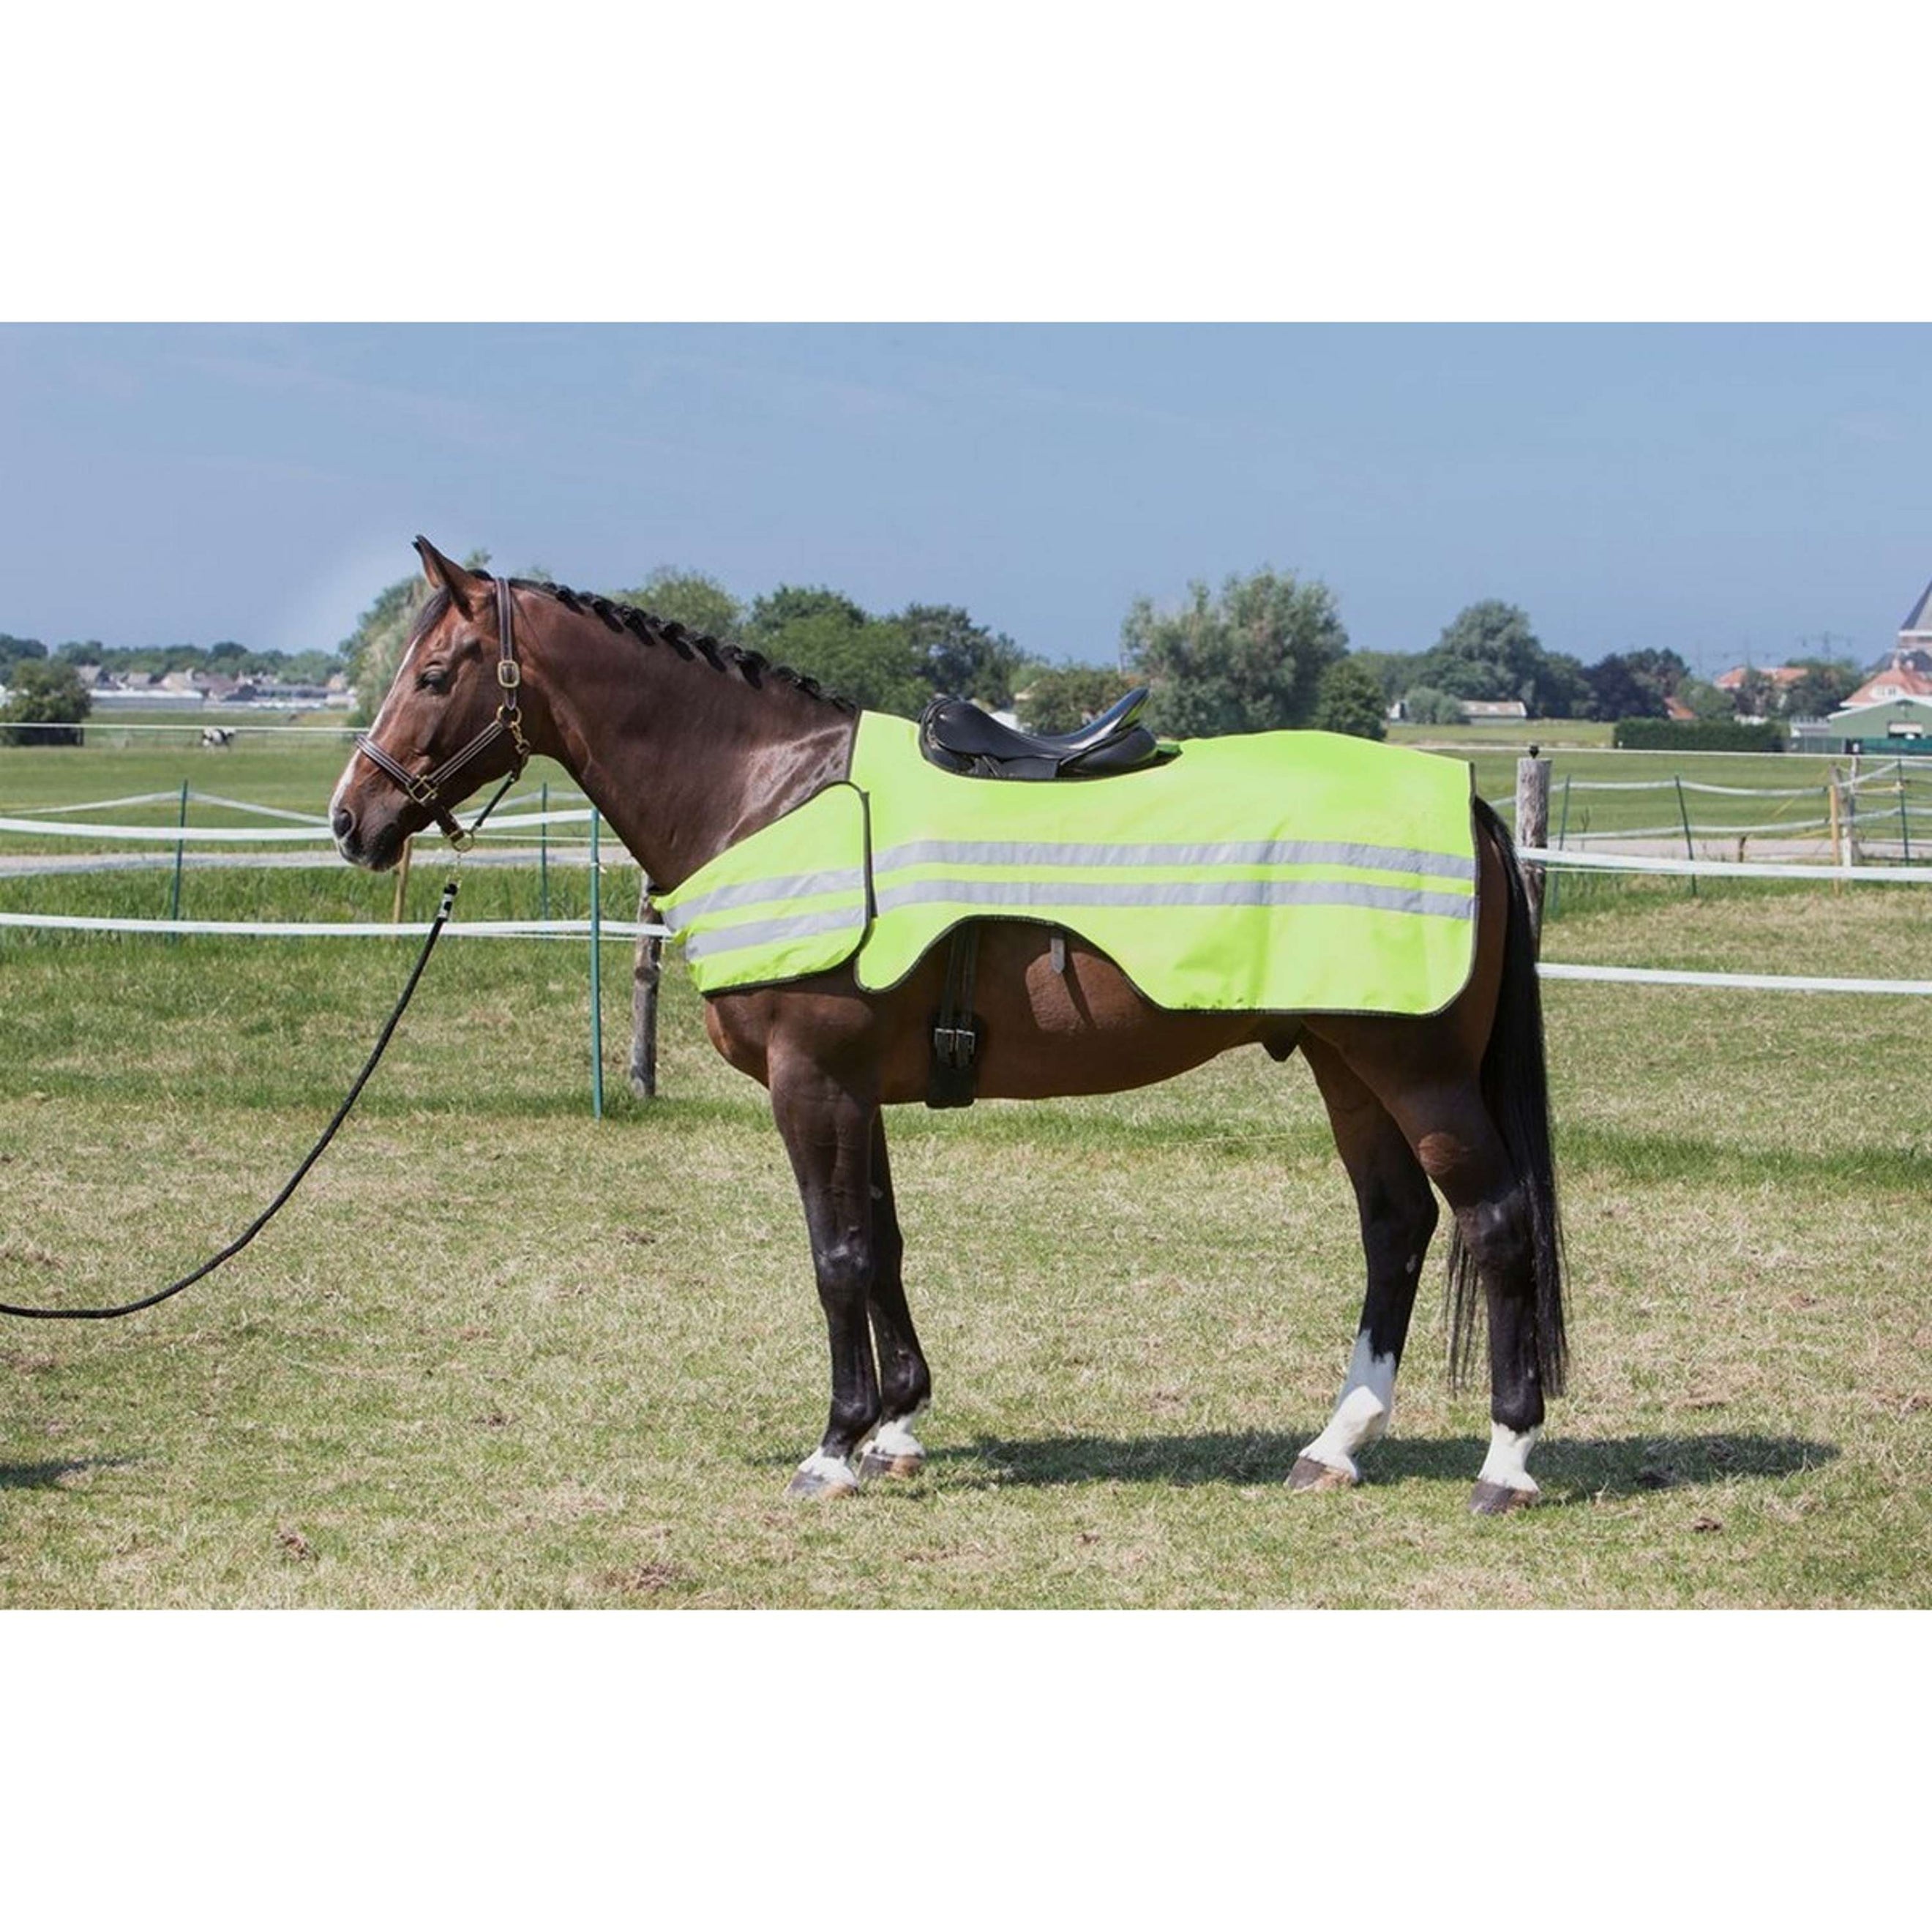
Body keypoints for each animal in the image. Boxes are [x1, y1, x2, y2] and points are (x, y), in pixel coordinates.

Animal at [331, 540, 1567, 1515]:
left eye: (433, 672)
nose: (354, 819)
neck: (775, 796)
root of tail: (1463, 803)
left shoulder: (812, 1080)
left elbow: (836, 1257)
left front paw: (834, 1450)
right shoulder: (853, 1087)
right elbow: (880, 1245)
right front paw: (896, 1428)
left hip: (1414, 1072)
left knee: (1497, 1222)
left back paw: (1506, 1462)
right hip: (1345, 1063)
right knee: (1397, 1226)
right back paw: (1335, 1445)